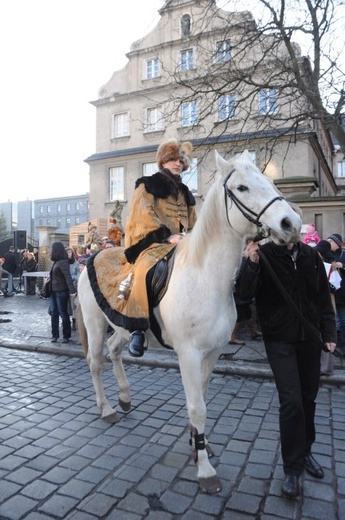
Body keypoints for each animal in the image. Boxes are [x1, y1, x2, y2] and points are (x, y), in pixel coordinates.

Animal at [76, 149, 300, 492]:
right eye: (242, 187)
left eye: (270, 181)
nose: (292, 223)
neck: (206, 277)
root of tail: (91, 257)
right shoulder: (189, 354)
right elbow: (197, 406)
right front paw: (205, 469)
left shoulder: (213, 353)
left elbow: (203, 400)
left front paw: (199, 446)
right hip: (95, 323)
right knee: (95, 363)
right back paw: (107, 408)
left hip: (125, 327)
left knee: (114, 351)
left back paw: (125, 397)